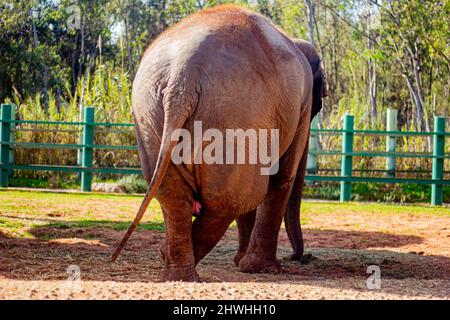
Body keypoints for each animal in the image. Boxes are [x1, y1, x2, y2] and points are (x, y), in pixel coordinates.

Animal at [111, 3, 326, 282]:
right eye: (319, 104)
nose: (300, 257)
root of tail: (182, 78)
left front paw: (241, 263)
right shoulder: (301, 105)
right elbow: (280, 179)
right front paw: (262, 268)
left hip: (150, 115)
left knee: (174, 195)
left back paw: (173, 270)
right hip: (235, 116)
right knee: (235, 197)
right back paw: (177, 264)